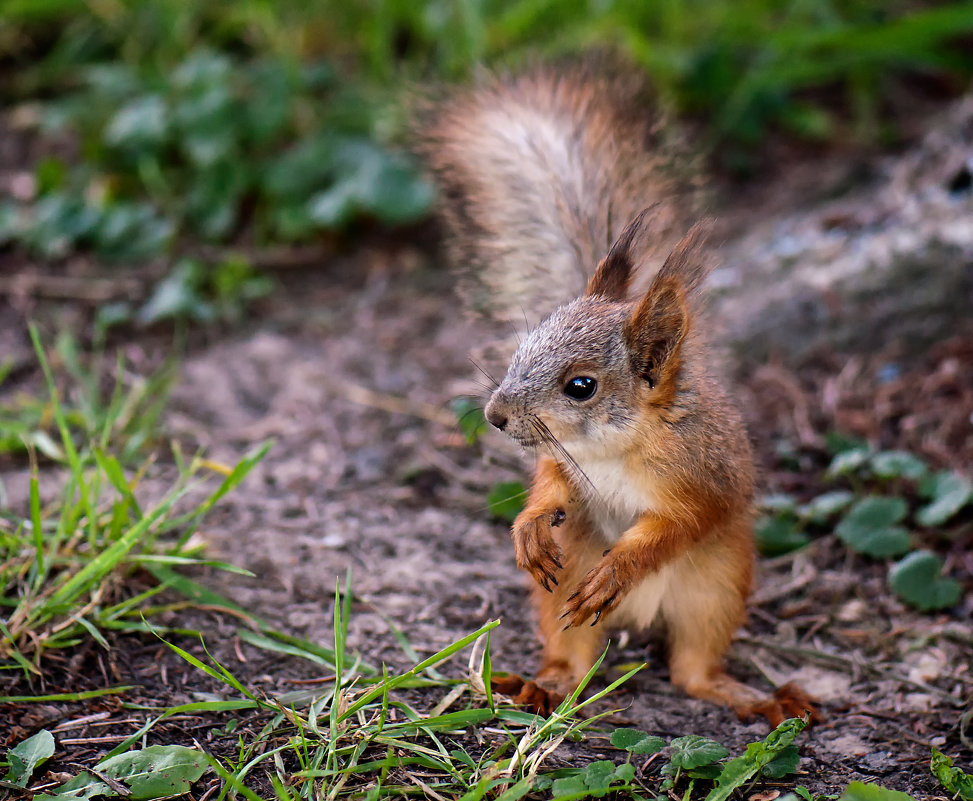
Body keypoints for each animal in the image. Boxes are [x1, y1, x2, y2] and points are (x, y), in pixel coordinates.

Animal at [422, 65, 808, 720]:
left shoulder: (702, 479)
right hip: (564, 589)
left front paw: (621, 567)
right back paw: (542, 685)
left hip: (715, 588)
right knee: (575, 657)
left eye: (581, 387)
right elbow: (550, 485)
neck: (614, 447)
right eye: (524, 345)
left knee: (692, 670)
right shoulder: (564, 461)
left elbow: (679, 525)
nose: (495, 415)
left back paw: (749, 697)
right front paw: (529, 525)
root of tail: (639, 620)